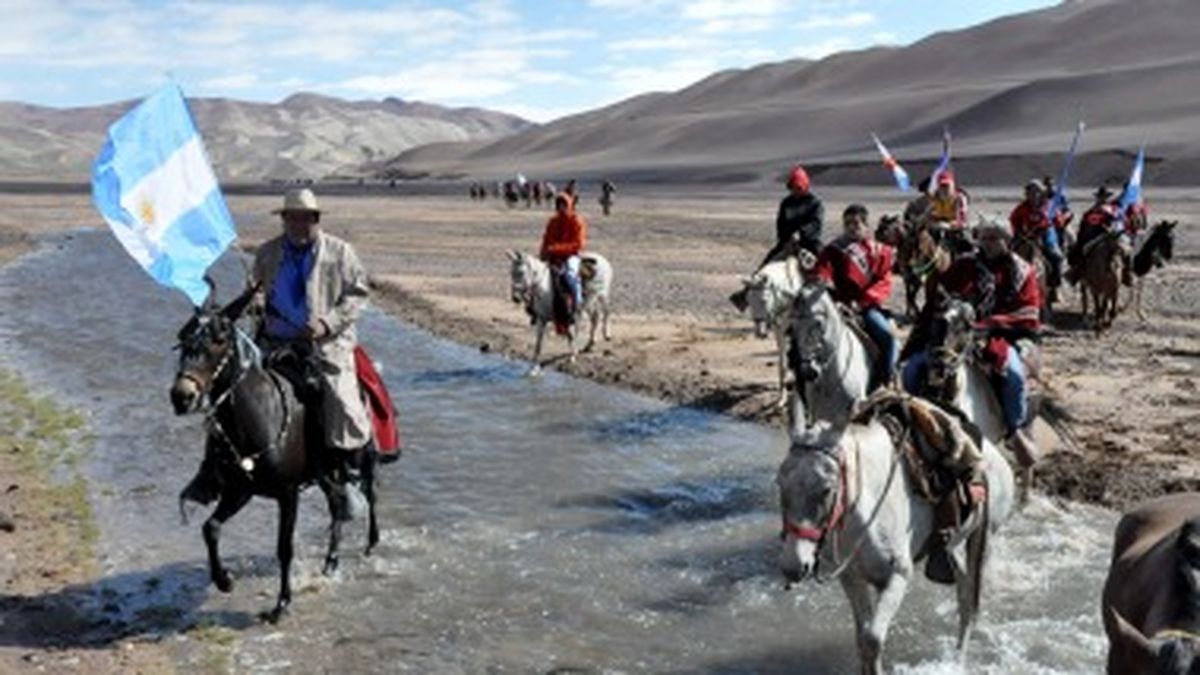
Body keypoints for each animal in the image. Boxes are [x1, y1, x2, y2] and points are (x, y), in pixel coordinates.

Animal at [739, 255, 806, 403]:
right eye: (749, 301)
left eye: (764, 300)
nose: (760, 333)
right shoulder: (779, 330)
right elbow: (782, 363)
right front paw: (782, 397)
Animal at [777, 396, 1012, 667]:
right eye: (780, 483)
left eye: (827, 489)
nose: (793, 567)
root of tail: (997, 458)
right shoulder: (852, 578)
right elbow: (862, 638)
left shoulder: (896, 578)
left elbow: (872, 640)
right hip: (954, 549)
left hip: (983, 542)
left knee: (968, 604)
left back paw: (958, 659)